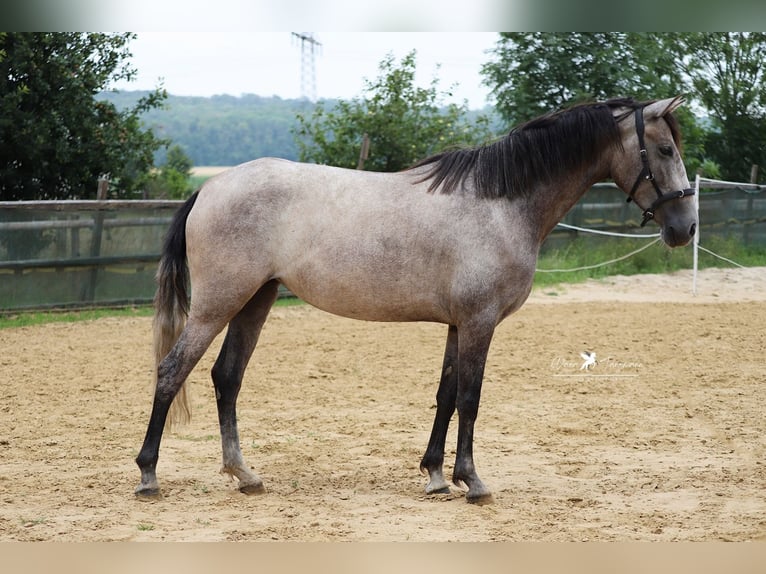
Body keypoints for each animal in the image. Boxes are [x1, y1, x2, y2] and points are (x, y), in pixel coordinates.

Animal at [135, 97, 700, 506]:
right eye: (665, 151)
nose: (685, 228)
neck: (501, 203)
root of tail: (209, 189)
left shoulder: (458, 324)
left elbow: (446, 396)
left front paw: (434, 475)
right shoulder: (480, 322)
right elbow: (470, 398)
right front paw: (472, 482)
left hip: (256, 300)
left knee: (226, 377)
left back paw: (244, 474)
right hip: (218, 304)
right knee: (172, 371)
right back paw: (148, 476)